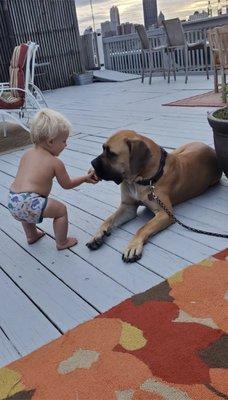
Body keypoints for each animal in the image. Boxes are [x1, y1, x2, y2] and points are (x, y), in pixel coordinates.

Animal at [86, 130, 222, 262]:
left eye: (111, 154)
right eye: (103, 148)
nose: (92, 163)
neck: (140, 179)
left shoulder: (164, 214)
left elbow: (142, 228)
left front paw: (133, 246)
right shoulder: (127, 207)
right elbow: (108, 219)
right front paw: (97, 235)